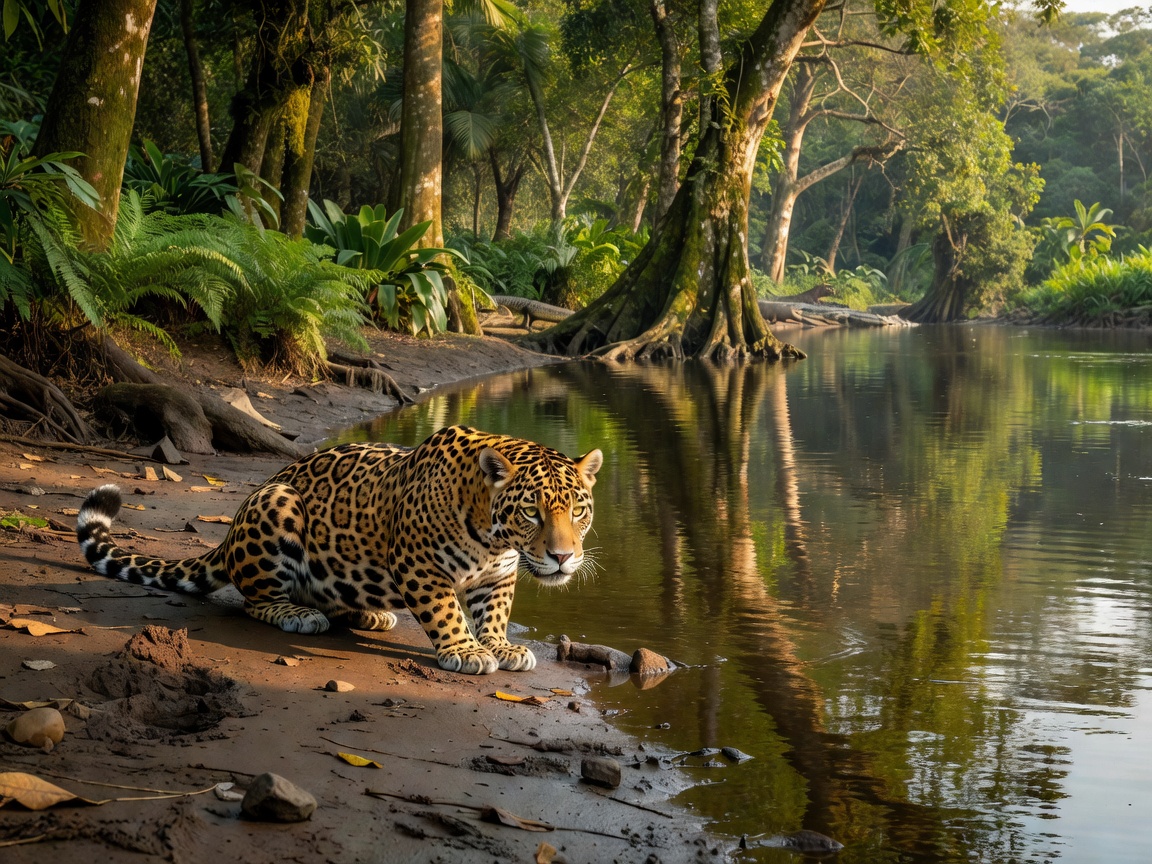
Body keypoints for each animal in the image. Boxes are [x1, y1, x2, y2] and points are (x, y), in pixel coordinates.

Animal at [76, 425, 602, 675]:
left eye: (578, 510)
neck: (494, 539)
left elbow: (493, 611)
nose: (563, 557)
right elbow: (446, 610)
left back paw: (369, 614)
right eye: (531, 511)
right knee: (254, 600)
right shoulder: (419, 563)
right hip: (278, 506)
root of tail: (226, 539)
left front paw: (499, 644)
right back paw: (298, 614)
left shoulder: (500, 573)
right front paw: (465, 650)